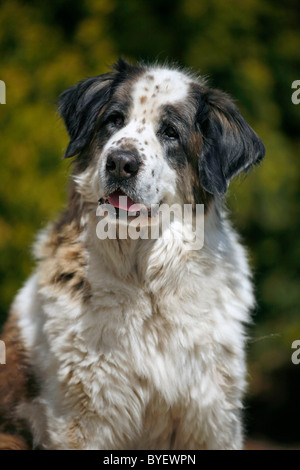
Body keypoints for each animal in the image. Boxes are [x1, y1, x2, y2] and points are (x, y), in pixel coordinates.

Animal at [0, 58, 264, 448]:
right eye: (113, 120)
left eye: (170, 132)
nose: (121, 162)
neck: (146, 280)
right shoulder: (83, 421)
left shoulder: (210, 418)